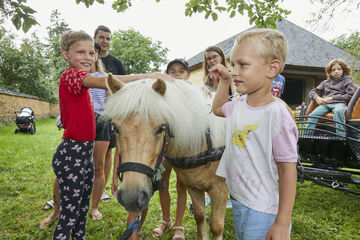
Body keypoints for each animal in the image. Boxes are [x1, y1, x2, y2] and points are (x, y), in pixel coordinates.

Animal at [103, 75, 228, 240]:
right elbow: (200, 217)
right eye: (115, 128)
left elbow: (216, 227)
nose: (131, 197)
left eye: (161, 128)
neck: (205, 141)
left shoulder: (220, 190)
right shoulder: (193, 187)